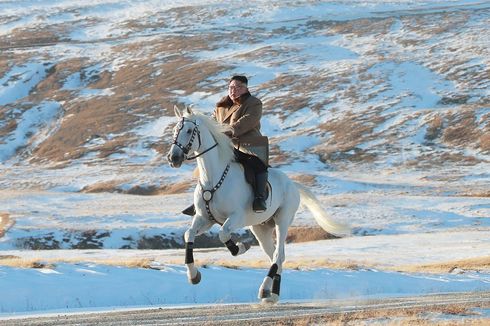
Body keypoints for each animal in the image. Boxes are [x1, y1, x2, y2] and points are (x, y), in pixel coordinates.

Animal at [167, 105, 350, 304]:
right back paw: (272, 294)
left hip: (282, 221)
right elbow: (188, 234)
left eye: (189, 130)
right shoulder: (204, 218)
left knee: (278, 255)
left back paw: (265, 290)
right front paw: (193, 276)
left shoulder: (236, 217)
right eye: (175, 130)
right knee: (276, 257)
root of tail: (293, 184)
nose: (173, 158)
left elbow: (223, 234)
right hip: (261, 228)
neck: (213, 178)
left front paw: (240, 248)